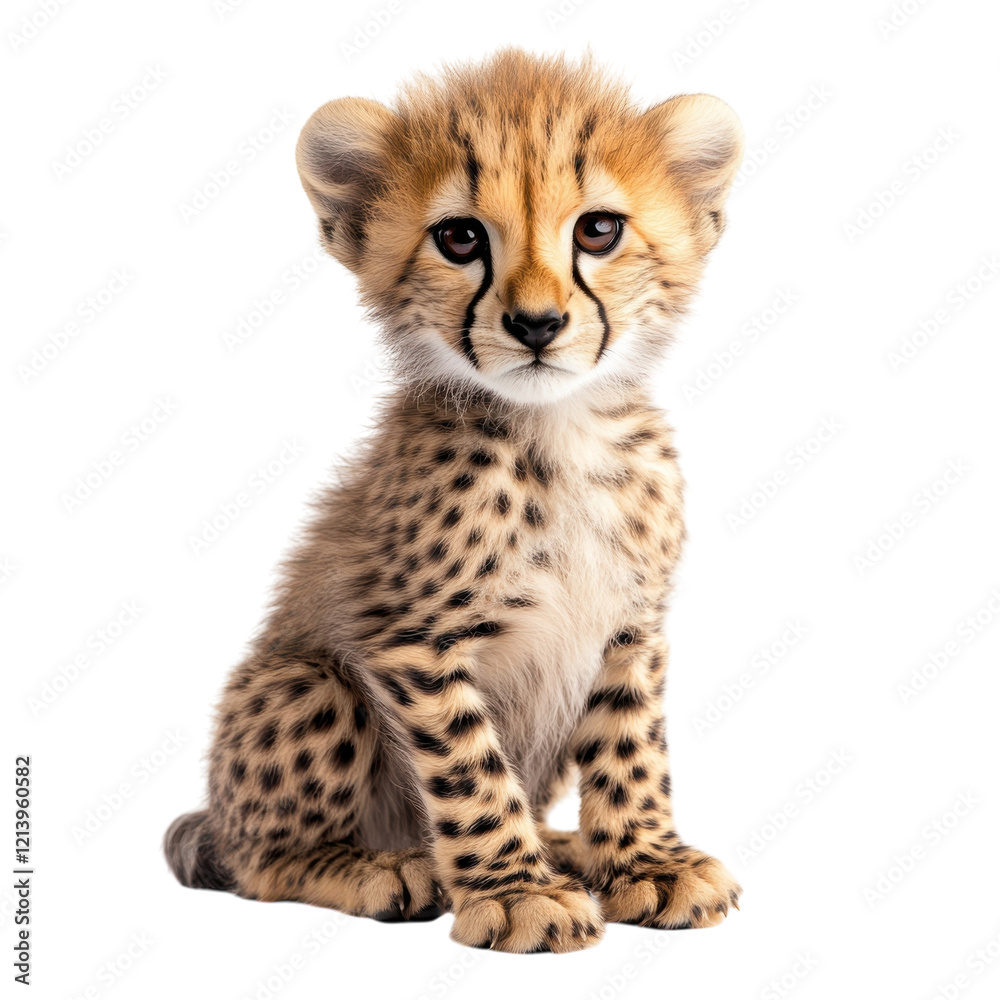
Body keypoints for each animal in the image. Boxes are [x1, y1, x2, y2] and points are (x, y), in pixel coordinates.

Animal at [165, 48, 744, 954]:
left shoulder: (630, 625)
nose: (537, 324)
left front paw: (644, 861)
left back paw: (566, 846)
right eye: (460, 237)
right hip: (305, 681)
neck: (559, 431)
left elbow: (630, 749)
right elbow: (473, 773)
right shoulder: (410, 638)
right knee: (261, 863)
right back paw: (380, 868)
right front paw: (516, 893)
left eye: (598, 230)